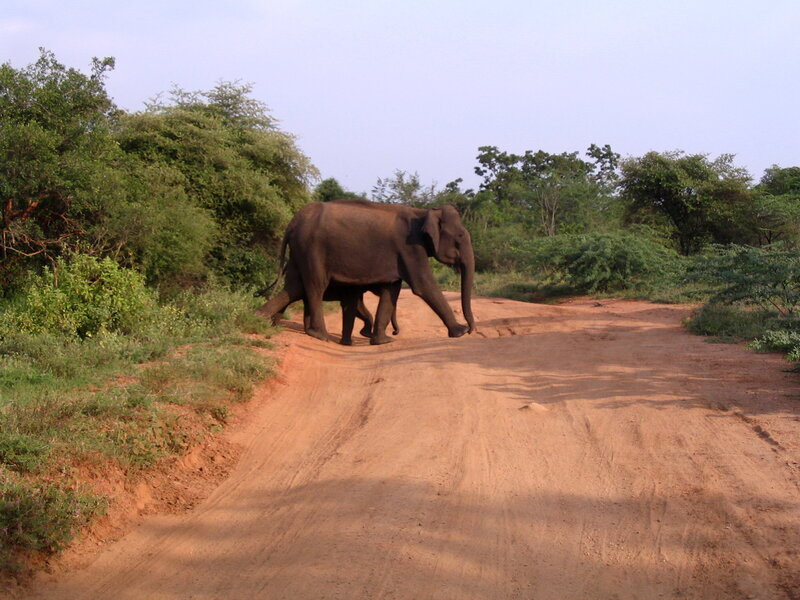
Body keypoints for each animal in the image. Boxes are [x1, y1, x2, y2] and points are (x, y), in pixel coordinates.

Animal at [259, 199, 475, 343]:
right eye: (460, 235)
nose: (472, 330)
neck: (423, 212)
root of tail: (293, 221)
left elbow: (391, 289)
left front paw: (382, 341)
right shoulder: (410, 247)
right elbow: (424, 285)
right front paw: (459, 332)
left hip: (300, 250)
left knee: (294, 287)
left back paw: (262, 318)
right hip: (312, 248)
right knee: (315, 286)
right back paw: (321, 335)